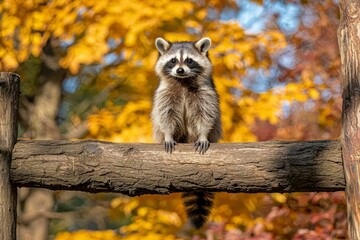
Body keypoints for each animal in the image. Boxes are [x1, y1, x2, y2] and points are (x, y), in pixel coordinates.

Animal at [150, 37, 222, 229]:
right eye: (173, 61)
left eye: (189, 60)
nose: (180, 70)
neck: (182, 80)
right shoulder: (165, 93)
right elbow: (165, 115)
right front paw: (168, 135)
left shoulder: (205, 92)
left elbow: (205, 114)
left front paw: (203, 134)